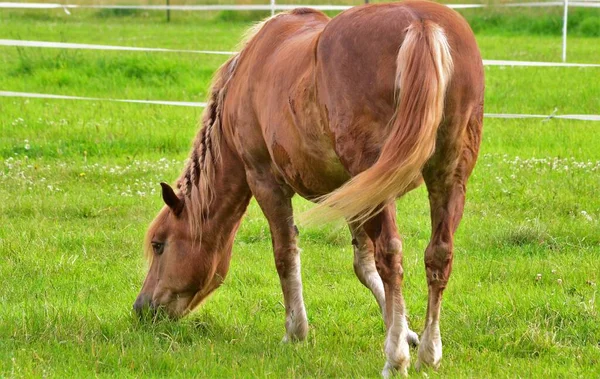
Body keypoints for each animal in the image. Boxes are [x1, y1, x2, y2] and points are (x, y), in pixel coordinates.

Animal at [134, 1, 486, 378]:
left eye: (158, 245)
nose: (141, 308)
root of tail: (421, 24)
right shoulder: (352, 192)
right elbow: (363, 266)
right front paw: (405, 330)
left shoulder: (266, 181)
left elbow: (286, 254)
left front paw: (296, 332)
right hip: (447, 178)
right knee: (438, 254)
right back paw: (429, 353)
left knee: (391, 254)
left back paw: (395, 359)